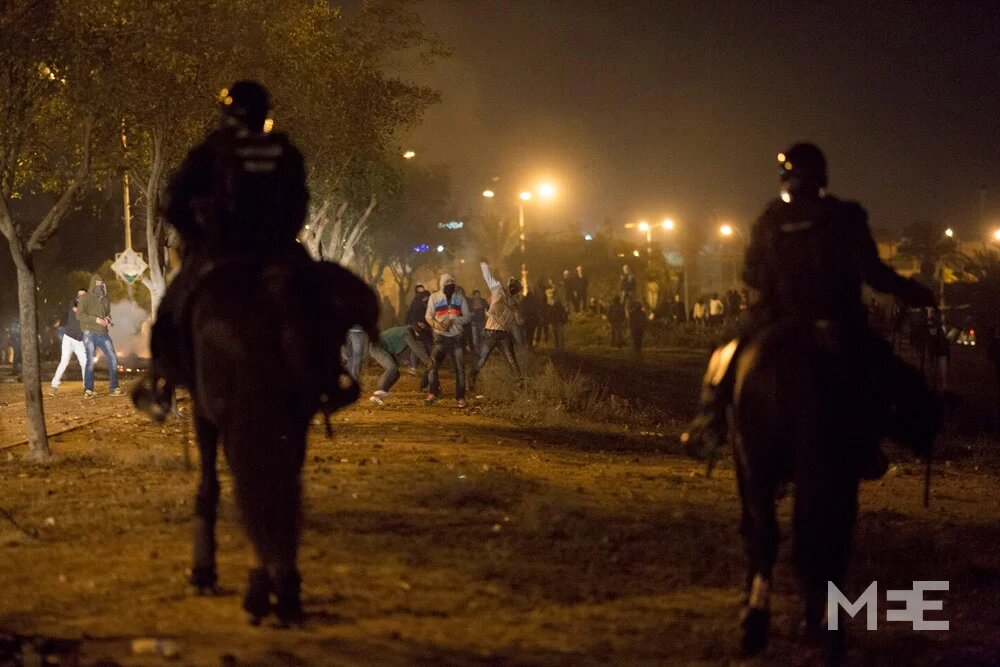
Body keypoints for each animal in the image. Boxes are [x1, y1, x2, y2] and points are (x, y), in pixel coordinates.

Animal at [730, 319, 888, 662]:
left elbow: (753, 532)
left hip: (760, 466)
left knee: (768, 535)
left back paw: (757, 628)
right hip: (834, 476)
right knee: (831, 543)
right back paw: (828, 633)